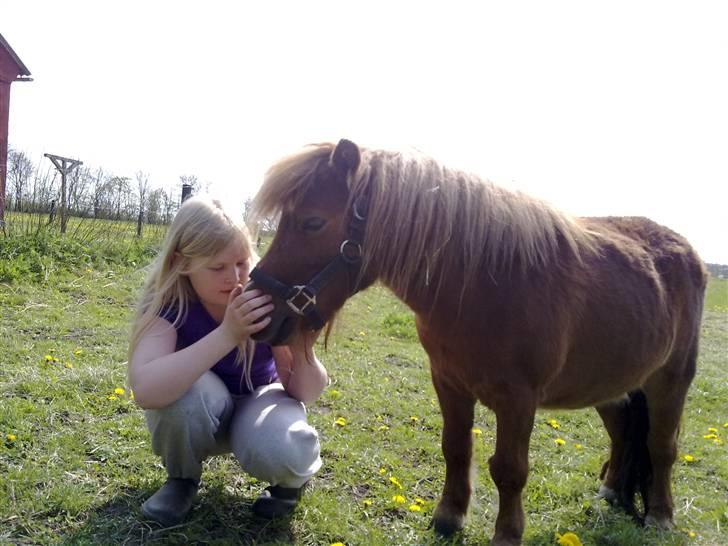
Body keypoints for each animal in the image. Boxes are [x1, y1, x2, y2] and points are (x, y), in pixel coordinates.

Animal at [249, 138, 704, 540]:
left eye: (312, 222)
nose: (263, 314)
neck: (484, 283)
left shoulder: (518, 399)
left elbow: (510, 469)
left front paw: (507, 533)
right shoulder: (448, 382)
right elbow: (455, 448)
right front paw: (449, 517)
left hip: (670, 381)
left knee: (662, 446)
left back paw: (660, 516)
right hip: (612, 388)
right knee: (624, 435)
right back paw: (611, 493)